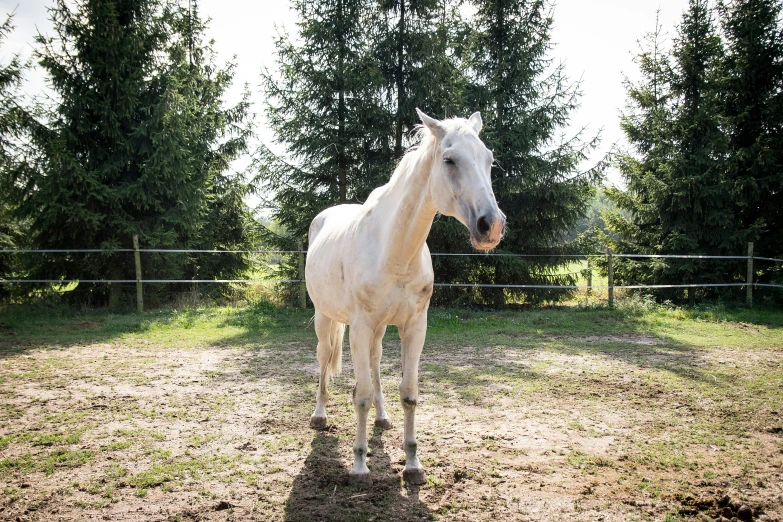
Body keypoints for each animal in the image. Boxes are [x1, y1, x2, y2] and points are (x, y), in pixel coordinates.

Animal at [304, 107, 506, 486]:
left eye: (489, 160)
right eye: (449, 160)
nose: (492, 225)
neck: (394, 250)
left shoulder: (414, 327)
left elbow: (409, 393)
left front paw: (413, 465)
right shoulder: (360, 326)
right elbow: (361, 395)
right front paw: (359, 467)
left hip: (380, 329)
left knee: (375, 362)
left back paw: (383, 417)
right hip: (326, 318)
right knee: (324, 359)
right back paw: (319, 416)